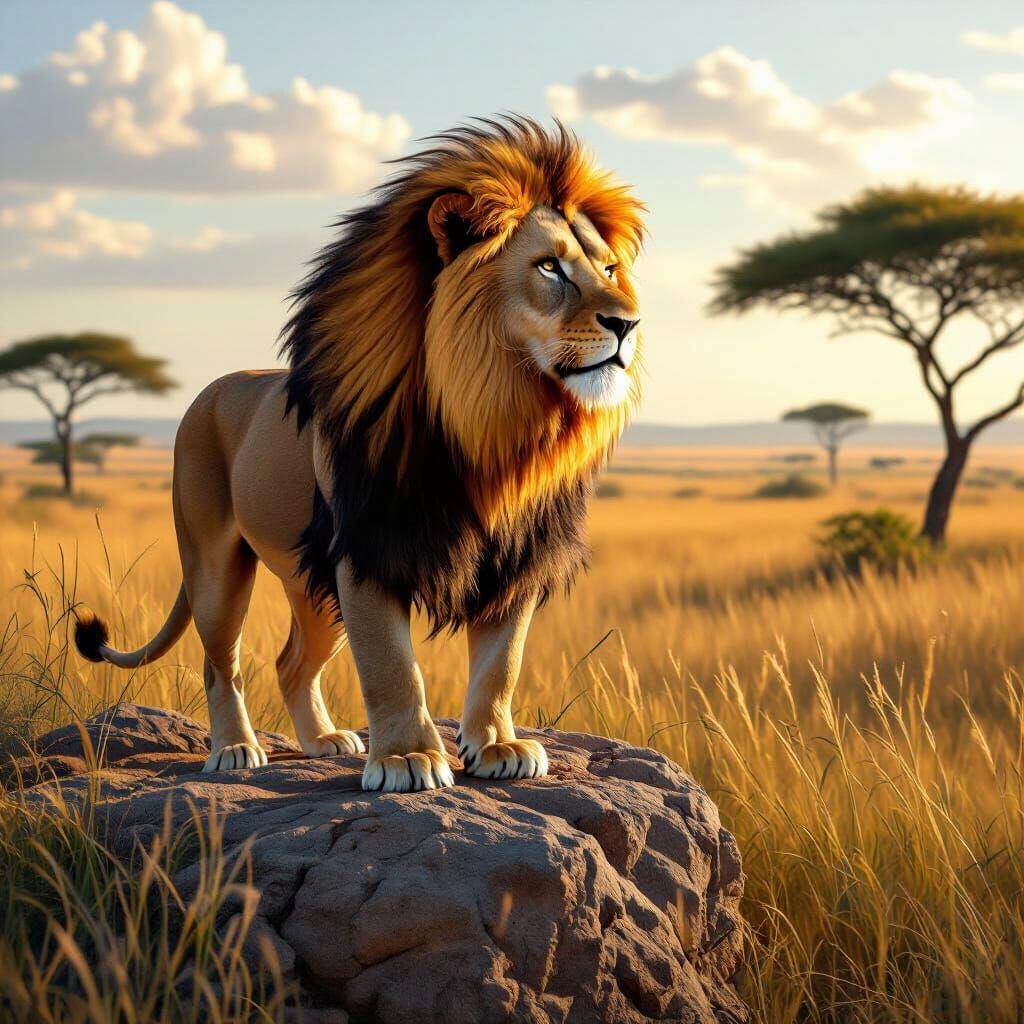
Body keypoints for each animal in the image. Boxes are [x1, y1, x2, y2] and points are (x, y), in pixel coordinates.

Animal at [74, 117, 646, 792]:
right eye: (550, 267)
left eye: (609, 268)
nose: (629, 324)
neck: (496, 427)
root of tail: (210, 390)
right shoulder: (368, 549)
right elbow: (392, 666)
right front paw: (406, 759)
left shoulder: (516, 559)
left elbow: (501, 662)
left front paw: (497, 746)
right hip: (216, 561)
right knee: (220, 662)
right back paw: (236, 749)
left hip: (312, 586)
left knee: (291, 662)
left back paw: (323, 741)